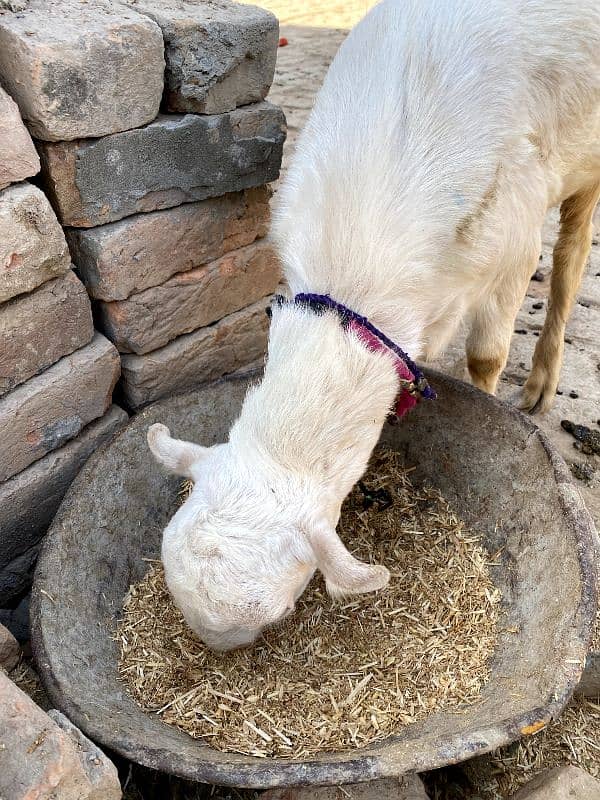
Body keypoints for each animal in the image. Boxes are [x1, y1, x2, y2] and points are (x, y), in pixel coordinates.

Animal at [149, 0, 600, 648]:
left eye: (277, 613)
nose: (213, 650)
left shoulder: (512, 239)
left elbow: (486, 357)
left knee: (571, 256)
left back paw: (540, 384)